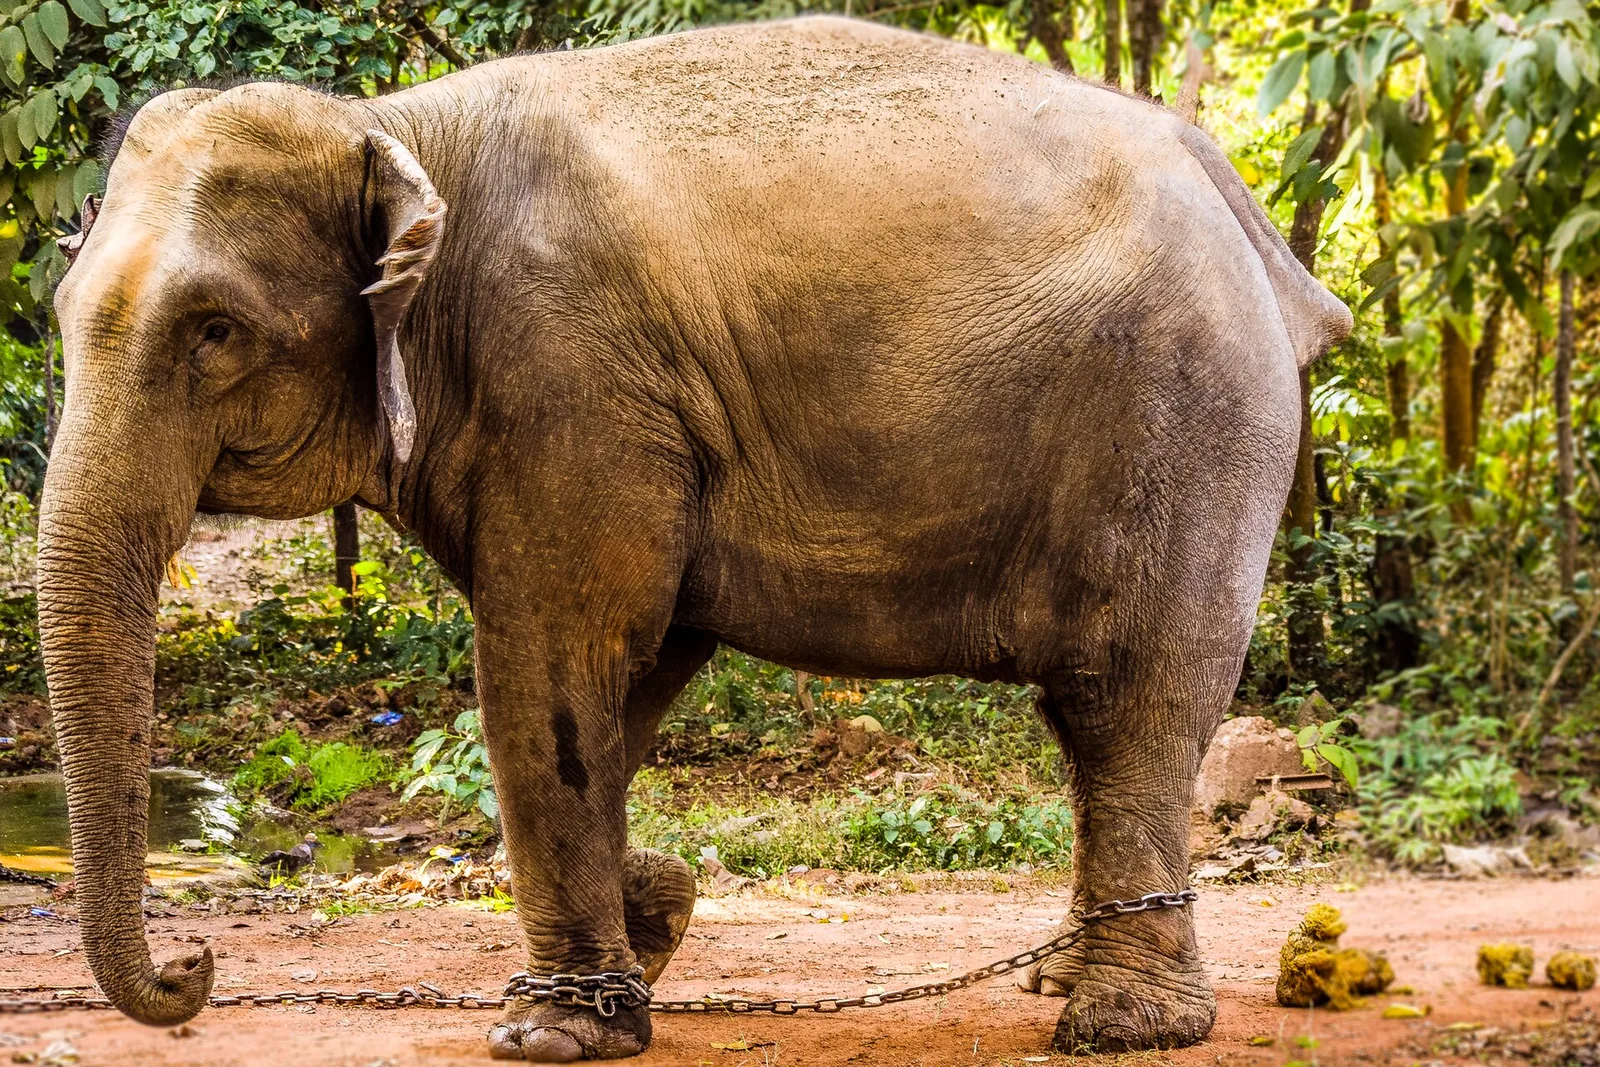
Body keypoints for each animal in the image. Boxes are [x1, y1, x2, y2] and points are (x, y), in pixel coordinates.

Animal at [40, 14, 1351, 1064]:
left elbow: (548, 666)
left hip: (1186, 410)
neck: (396, 125)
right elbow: (626, 672)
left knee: (1127, 694)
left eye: (214, 329)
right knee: (1097, 719)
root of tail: (1243, 208)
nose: (195, 965)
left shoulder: (564, 373)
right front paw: (653, 917)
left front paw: (551, 1029)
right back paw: (1059, 978)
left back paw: (1118, 1021)